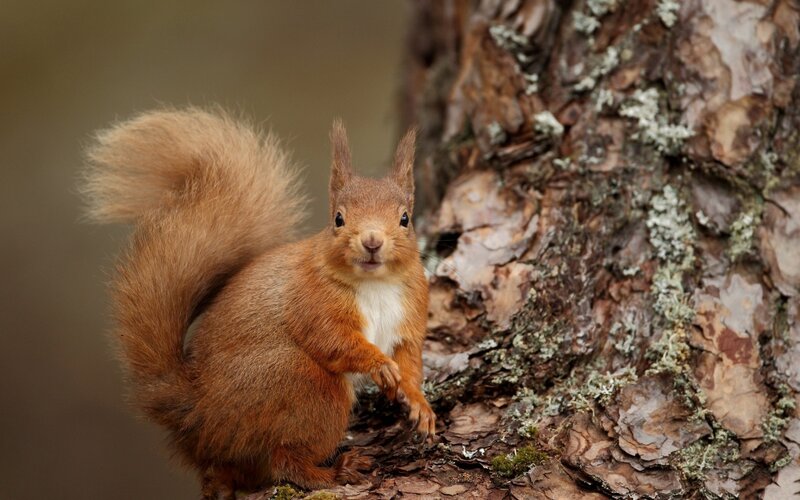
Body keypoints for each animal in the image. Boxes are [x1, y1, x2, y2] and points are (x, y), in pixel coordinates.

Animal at [83, 108, 436, 498]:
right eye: (338, 219)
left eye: (405, 219)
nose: (372, 241)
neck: (375, 285)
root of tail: (198, 417)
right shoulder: (311, 302)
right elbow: (334, 341)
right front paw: (379, 364)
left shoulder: (409, 315)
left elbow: (410, 361)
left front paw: (418, 404)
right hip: (303, 385)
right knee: (284, 460)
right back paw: (334, 471)